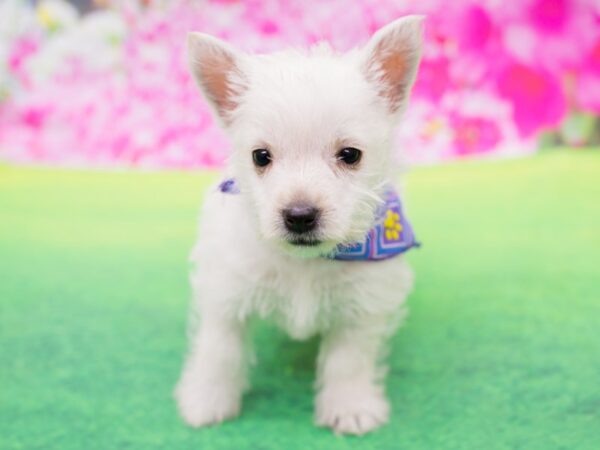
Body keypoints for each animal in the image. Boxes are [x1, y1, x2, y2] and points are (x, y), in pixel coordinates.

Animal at [176, 15, 424, 434]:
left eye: (350, 154)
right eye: (261, 156)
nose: (299, 215)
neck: (305, 264)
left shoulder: (362, 304)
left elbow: (348, 361)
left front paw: (350, 407)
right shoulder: (226, 292)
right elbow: (220, 349)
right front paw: (207, 401)